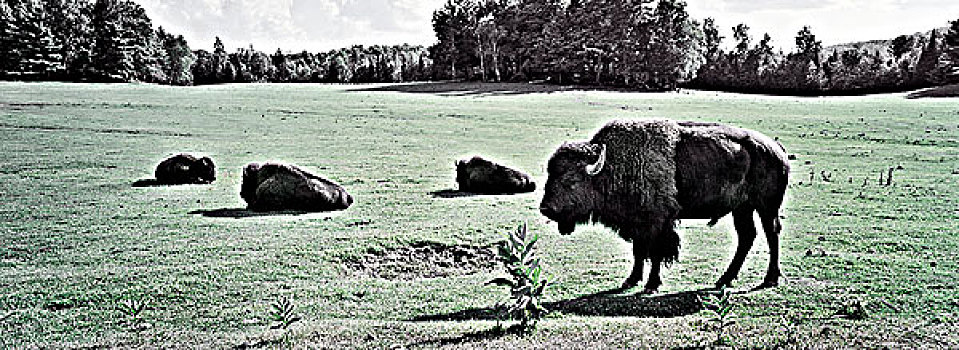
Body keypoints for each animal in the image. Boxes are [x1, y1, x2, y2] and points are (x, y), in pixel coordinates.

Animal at [536, 119, 792, 294]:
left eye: (571, 181)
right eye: (550, 176)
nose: (546, 209)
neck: (612, 165)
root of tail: (778, 150)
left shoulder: (658, 222)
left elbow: (656, 253)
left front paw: (651, 284)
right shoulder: (639, 223)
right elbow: (639, 251)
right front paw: (631, 280)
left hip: (766, 206)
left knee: (771, 234)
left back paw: (769, 279)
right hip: (742, 208)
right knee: (746, 237)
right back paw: (724, 280)